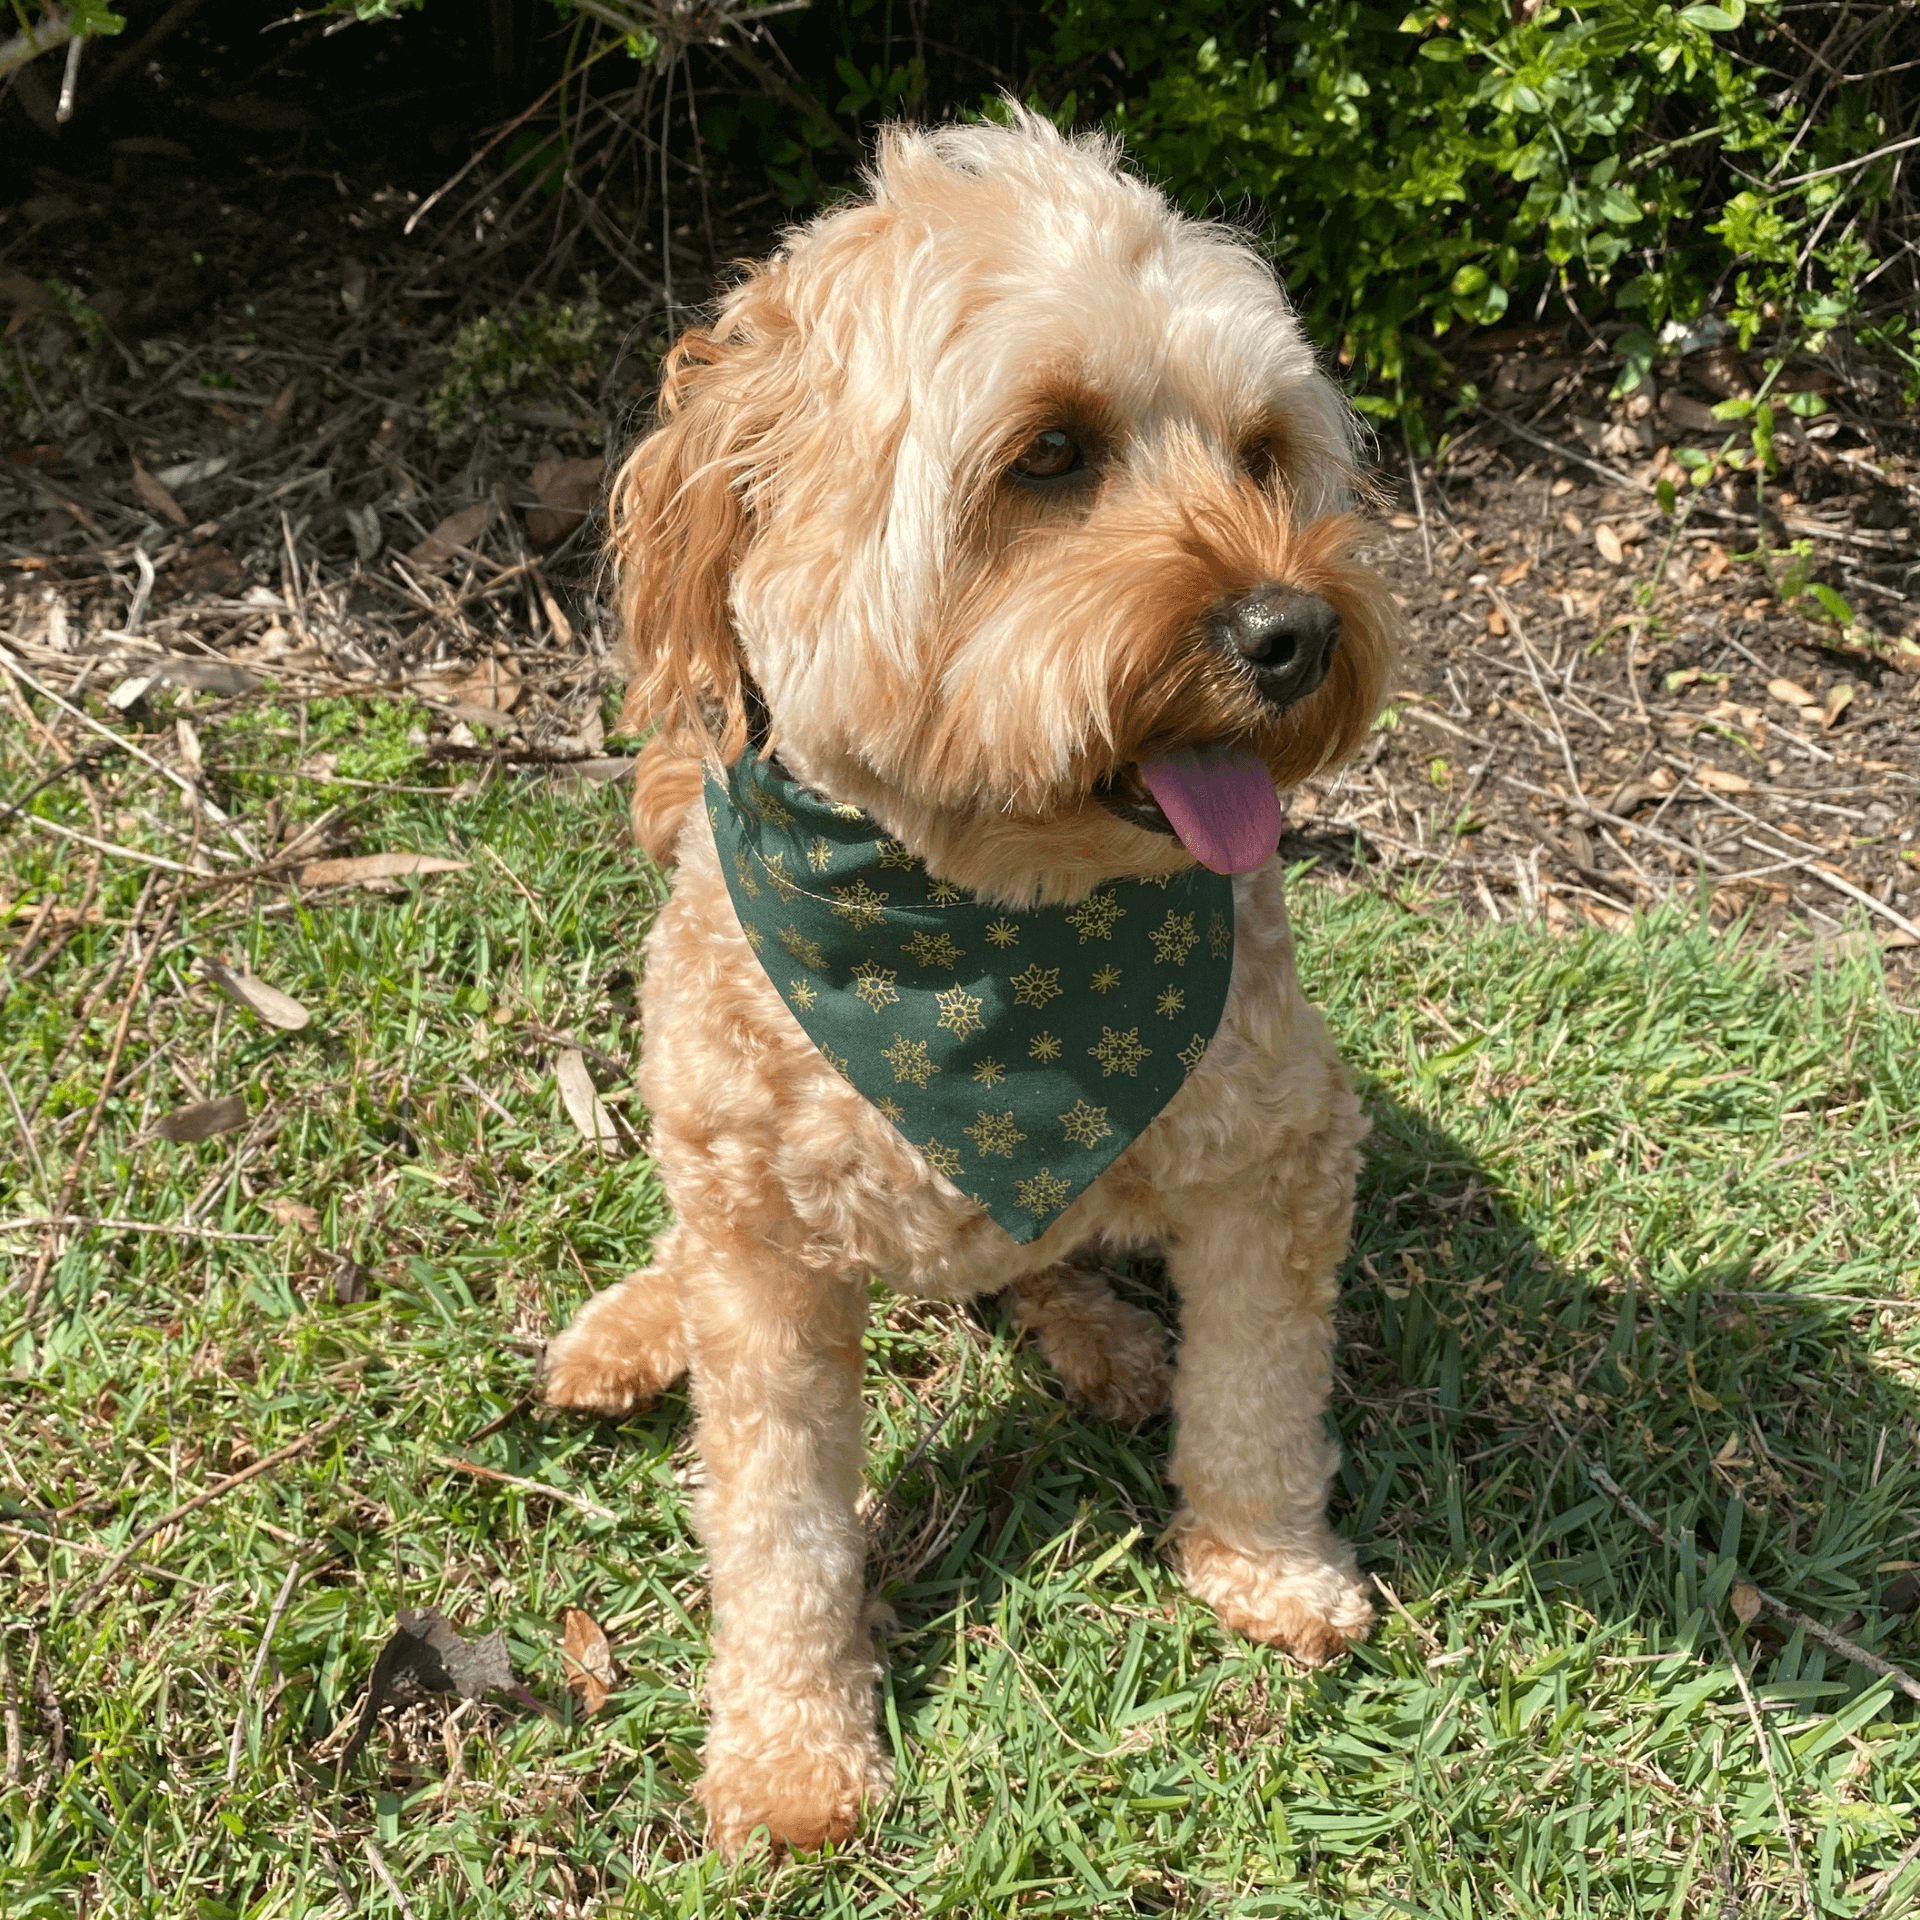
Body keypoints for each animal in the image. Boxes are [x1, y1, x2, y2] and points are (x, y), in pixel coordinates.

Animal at [541, 112, 1397, 1850]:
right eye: (1050, 453)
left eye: (1262, 452)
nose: (1294, 629)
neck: (974, 927)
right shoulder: (769, 1282)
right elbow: (780, 1529)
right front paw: (795, 1756)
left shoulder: (1282, 1152)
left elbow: (1263, 1396)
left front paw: (1272, 1566)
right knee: (694, 1246)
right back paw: (630, 1326)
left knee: (1054, 1264)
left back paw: (1109, 1341)